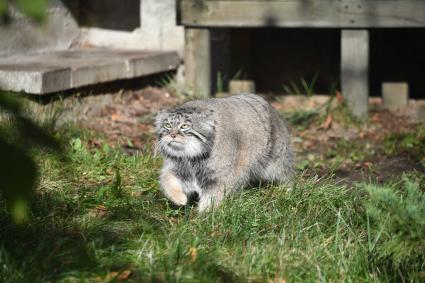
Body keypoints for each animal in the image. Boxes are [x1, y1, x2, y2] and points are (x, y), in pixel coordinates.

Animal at [155, 93, 292, 211]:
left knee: (287, 176)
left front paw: (204, 217)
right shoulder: (176, 168)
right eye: (167, 125)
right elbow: (167, 180)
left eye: (184, 126)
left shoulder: (220, 177)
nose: (172, 135)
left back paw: (287, 191)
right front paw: (180, 199)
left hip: (277, 163)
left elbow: (212, 199)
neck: (190, 158)